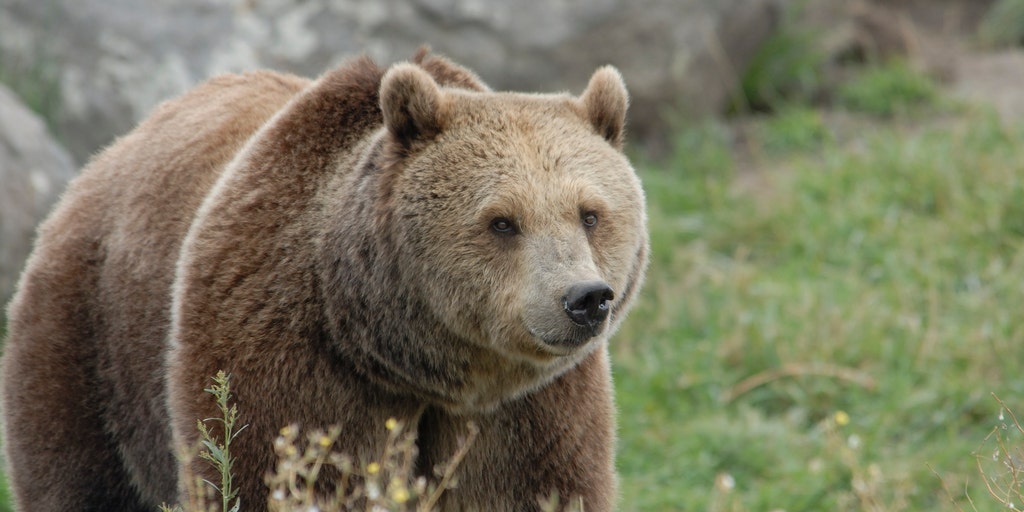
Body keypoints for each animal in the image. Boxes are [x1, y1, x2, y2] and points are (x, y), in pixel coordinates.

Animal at [1, 50, 649, 512]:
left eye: (590, 213)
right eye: (502, 221)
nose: (584, 299)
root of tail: (108, 156)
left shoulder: (529, 409)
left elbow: (531, 489)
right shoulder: (289, 347)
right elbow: (283, 472)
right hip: (93, 340)